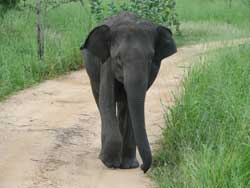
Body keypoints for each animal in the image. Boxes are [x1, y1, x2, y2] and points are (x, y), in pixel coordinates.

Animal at [81, 11, 177, 173]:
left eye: (151, 58)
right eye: (118, 58)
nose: (143, 168)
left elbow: (134, 105)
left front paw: (129, 166)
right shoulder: (107, 64)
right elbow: (106, 101)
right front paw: (110, 163)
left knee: (124, 106)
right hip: (92, 75)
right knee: (100, 100)